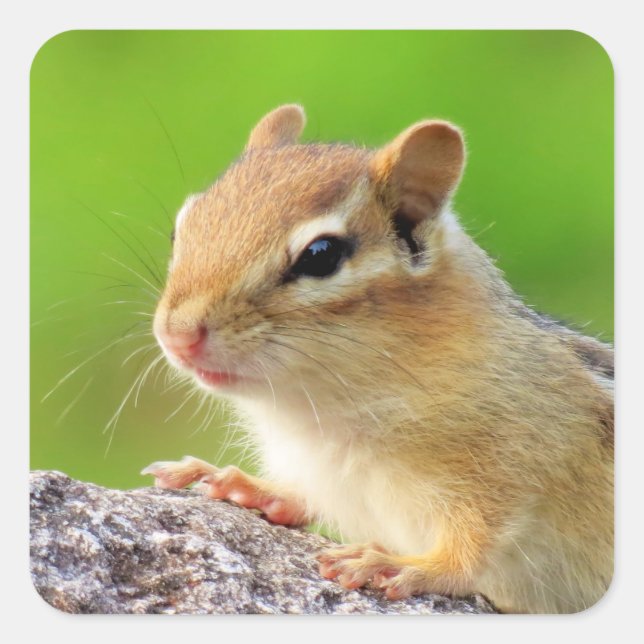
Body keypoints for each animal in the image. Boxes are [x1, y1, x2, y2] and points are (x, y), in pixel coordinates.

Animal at [142, 104, 614, 614]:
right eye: (182, 227)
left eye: (321, 255)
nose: (177, 335)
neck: (320, 412)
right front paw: (240, 483)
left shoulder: (519, 461)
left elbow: (473, 548)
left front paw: (405, 566)